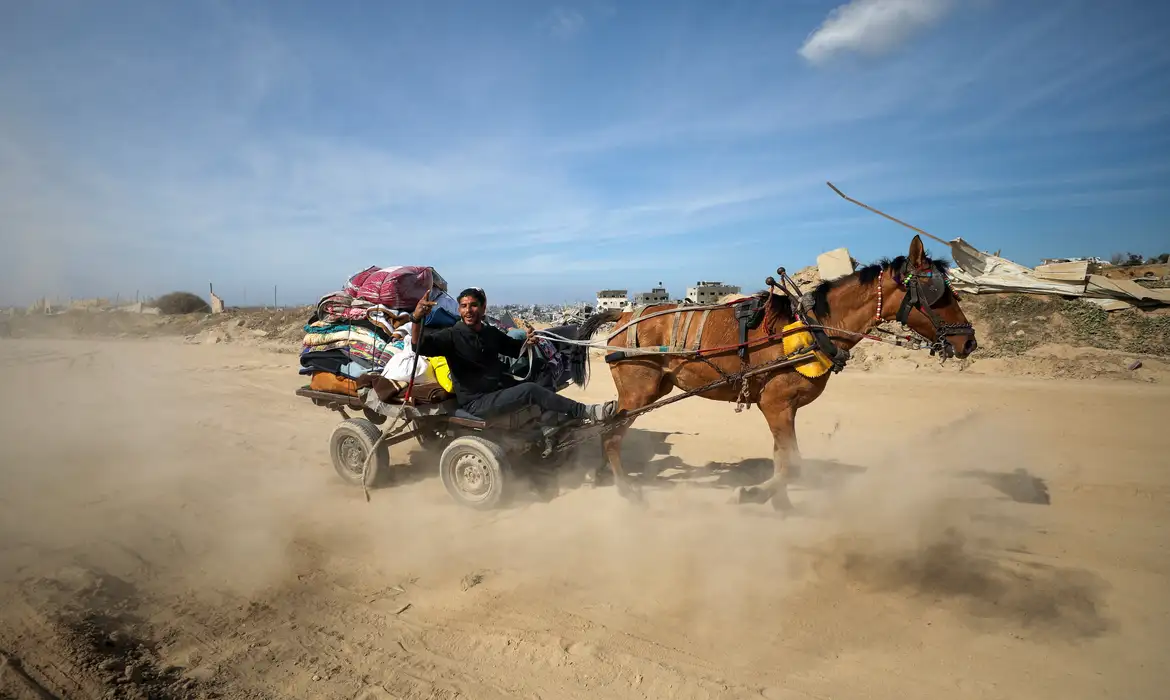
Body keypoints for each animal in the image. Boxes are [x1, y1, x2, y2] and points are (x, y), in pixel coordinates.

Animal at [594, 236, 978, 510]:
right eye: (937, 292)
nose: (969, 341)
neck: (815, 326)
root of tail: (623, 315)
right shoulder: (776, 404)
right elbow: (792, 462)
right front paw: (756, 495)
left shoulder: (784, 408)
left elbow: (784, 457)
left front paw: (782, 502)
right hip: (639, 392)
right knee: (611, 434)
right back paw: (626, 490)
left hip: (653, 389)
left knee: (608, 423)